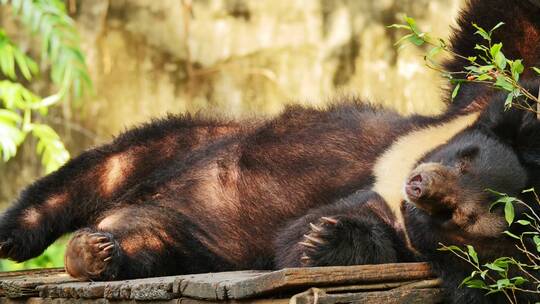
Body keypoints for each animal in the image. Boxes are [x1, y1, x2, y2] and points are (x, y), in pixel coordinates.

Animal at [0, 0, 536, 304]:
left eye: (458, 215)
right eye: (463, 157)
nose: (419, 185)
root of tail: (125, 209)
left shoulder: (399, 223)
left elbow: (304, 236)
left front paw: (323, 239)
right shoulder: (462, 112)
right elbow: (503, 39)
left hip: (189, 238)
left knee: (152, 246)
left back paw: (93, 253)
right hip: (191, 140)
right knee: (96, 170)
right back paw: (19, 235)